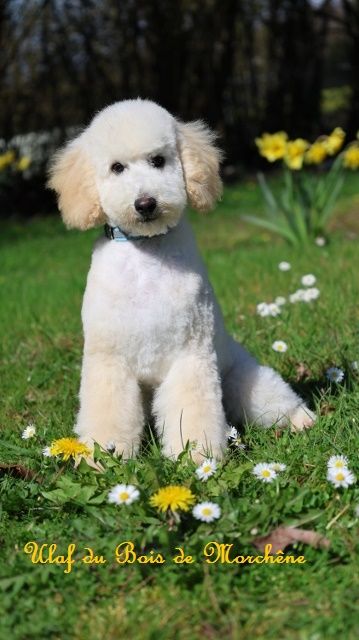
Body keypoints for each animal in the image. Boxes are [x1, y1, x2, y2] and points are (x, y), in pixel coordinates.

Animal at [47, 99, 316, 460]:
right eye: (117, 168)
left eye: (158, 160)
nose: (145, 203)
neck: (147, 254)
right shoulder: (108, 358)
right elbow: (108, 410)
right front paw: (103, 457)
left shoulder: (190, 354)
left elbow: (192, 412)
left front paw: (197, 458)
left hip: (244, 382)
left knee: (275, 399)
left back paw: (302, 419)